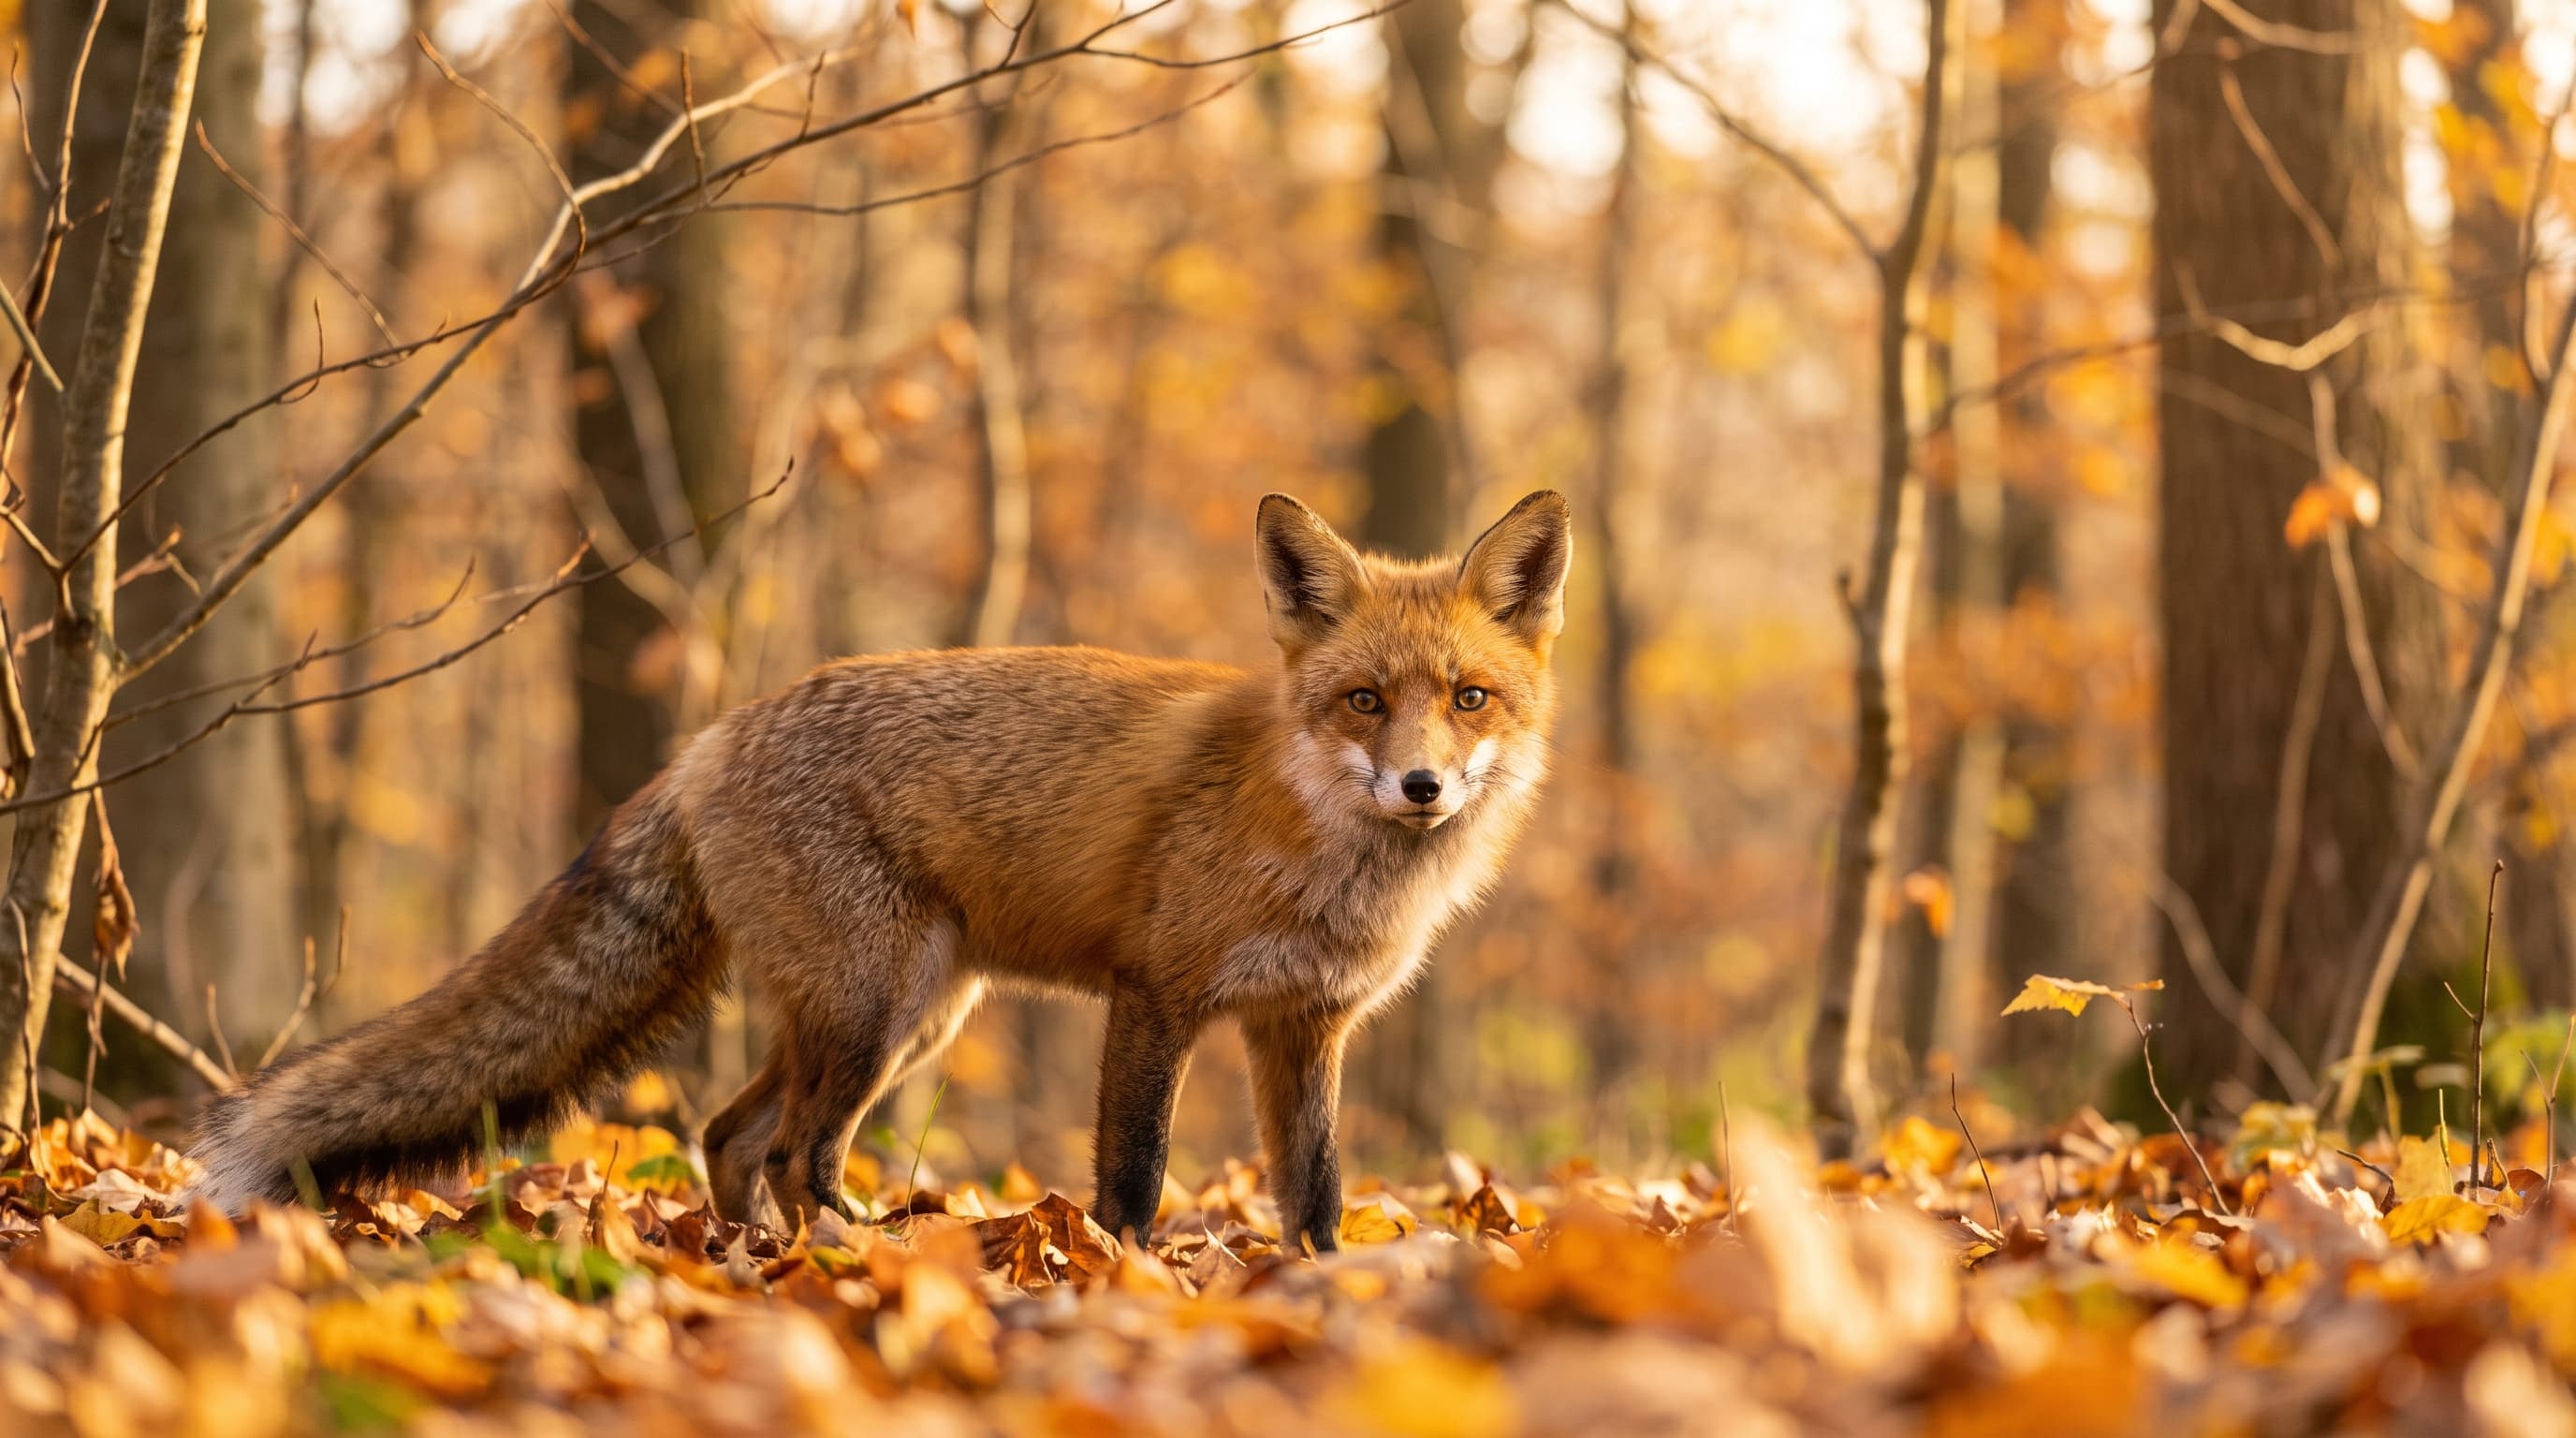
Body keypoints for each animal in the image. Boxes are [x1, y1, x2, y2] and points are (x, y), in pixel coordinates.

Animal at [188, 489, 1569, 1251]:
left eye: (1467, 698)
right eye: (1363, 701)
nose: (1422, 787)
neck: (1317, 849)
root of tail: (713, 738)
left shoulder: (1304, 1028)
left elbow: (1317, 1194)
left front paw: (1313, 1283)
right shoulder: (1157, 997)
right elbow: (1132, 1179)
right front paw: (1121, 1282)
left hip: (904, 1016)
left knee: (734, 1134)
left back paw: (757, 1262)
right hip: (872, 1007)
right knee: (791, 1148)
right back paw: (840, 1260)